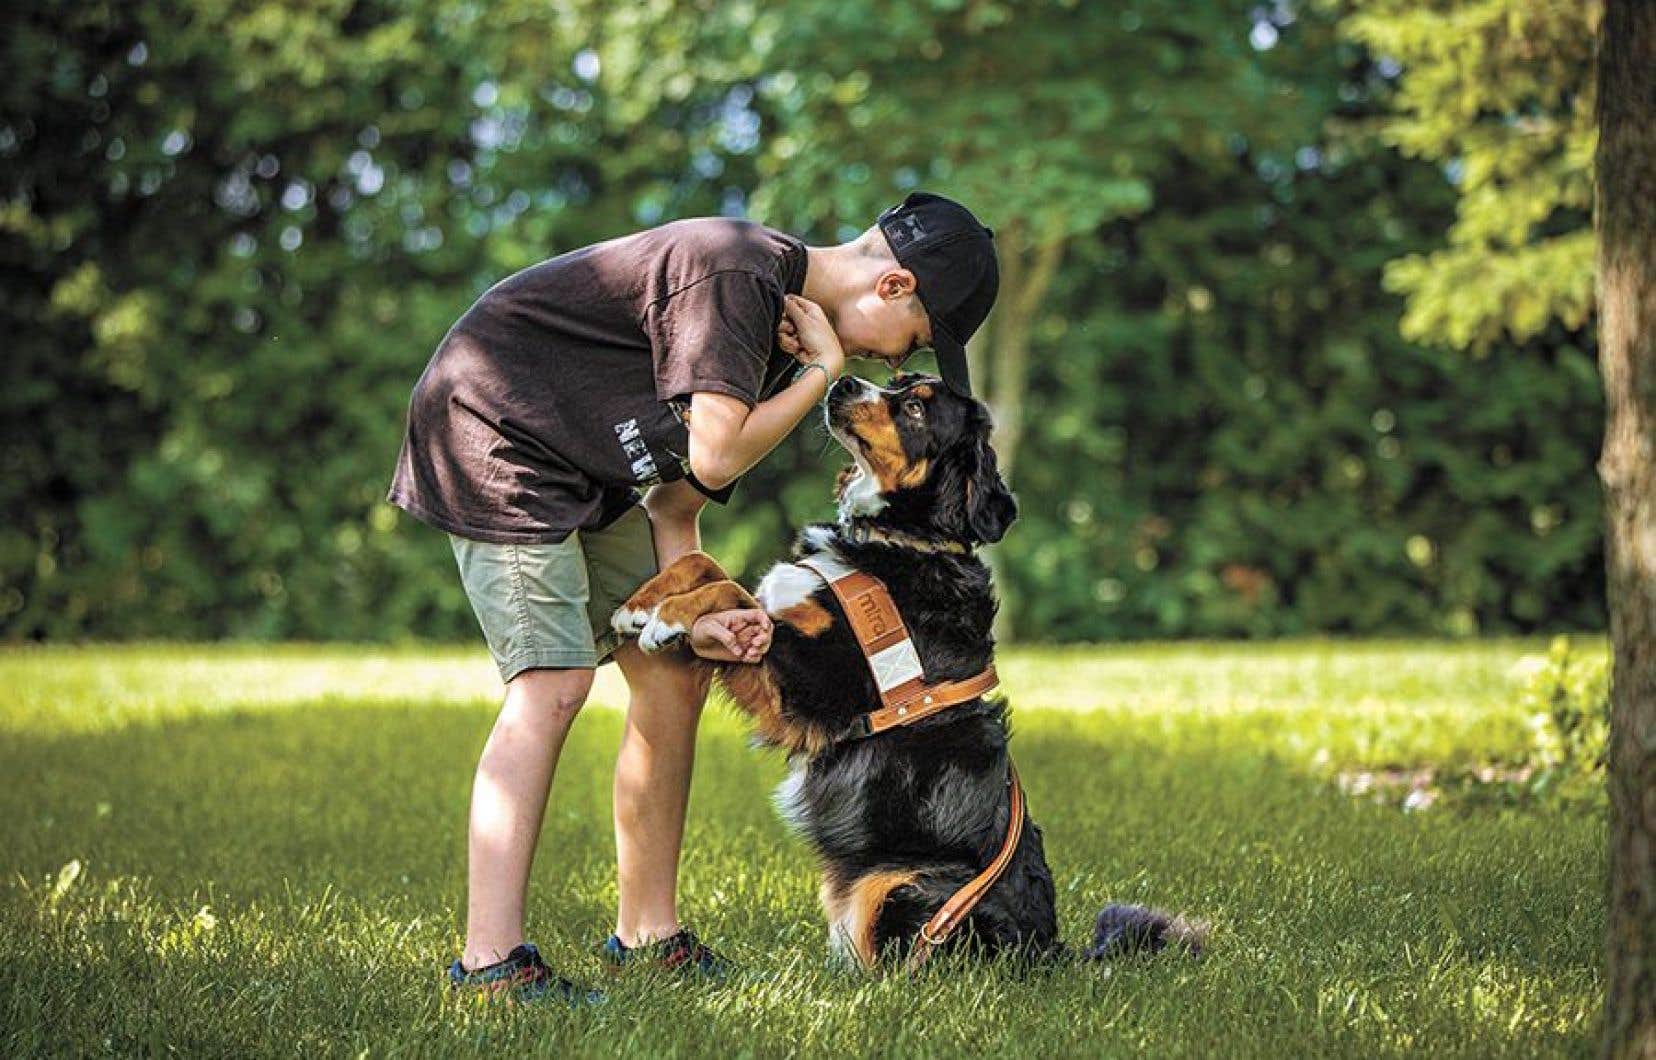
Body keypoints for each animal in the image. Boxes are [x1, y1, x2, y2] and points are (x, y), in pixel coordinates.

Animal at [612, 371, 1205, 967]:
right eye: (899, 381)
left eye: (917, 410)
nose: (843, 380)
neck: (895, 541)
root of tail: (1047, 949)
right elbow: (706, 565)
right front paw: (639, 604)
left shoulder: (816, 686)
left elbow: (731, 592)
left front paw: (667, 618)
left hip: (901, 883)